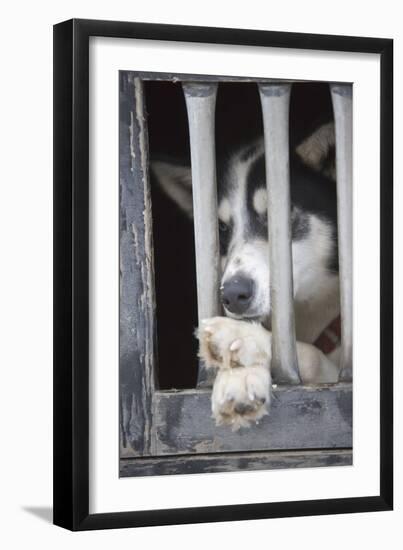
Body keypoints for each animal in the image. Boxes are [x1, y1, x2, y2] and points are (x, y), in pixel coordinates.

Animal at [152, 122, 340, 432]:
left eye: (278, 216)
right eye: (221, 228)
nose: (232, 293)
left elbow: (308, 357)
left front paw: (240, 337)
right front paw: (239, 376)